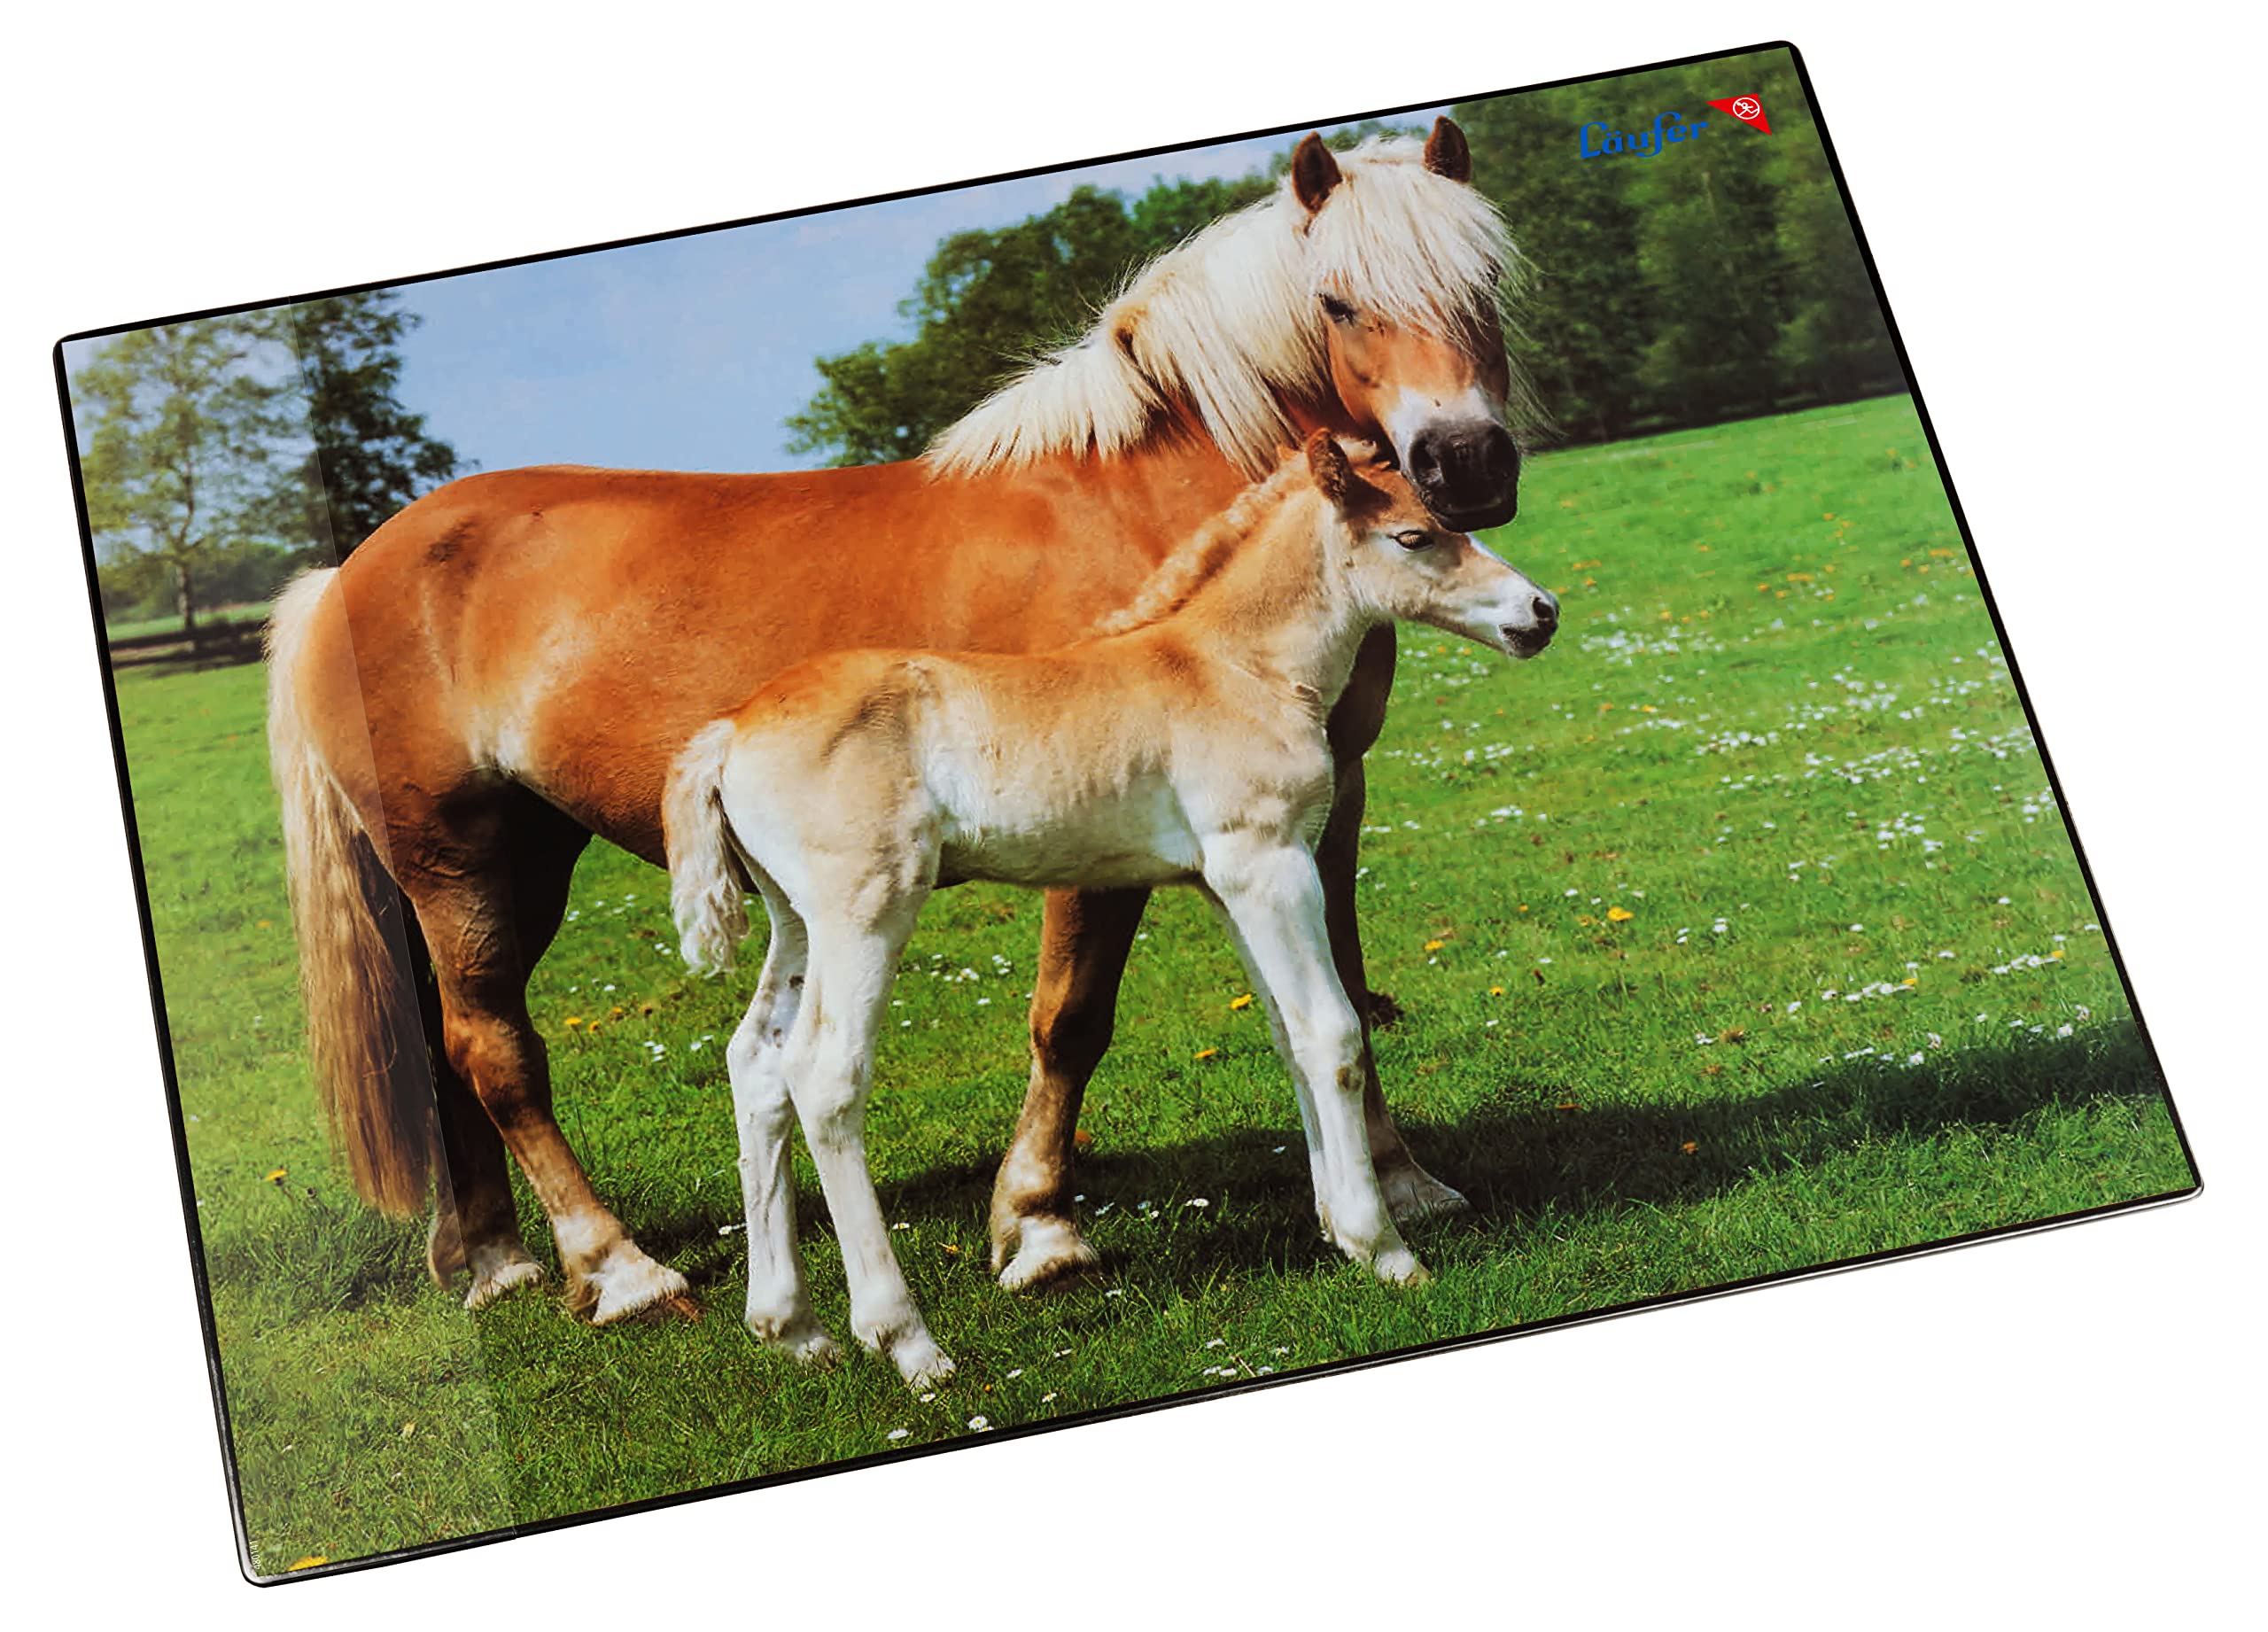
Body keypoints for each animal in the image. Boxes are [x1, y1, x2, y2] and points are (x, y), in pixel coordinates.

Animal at [664, 432, 1556, 1384]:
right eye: (1414, 536)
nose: (1541, 612)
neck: (1234, 669)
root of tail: (730, 729)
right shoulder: (1268, 861)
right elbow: (1332, 1034)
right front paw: (1381, 1248)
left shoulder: (1224, 882)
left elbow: (1286, 1034)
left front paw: (1336, 1229)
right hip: (864, 910)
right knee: (824, 1078)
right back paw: (906, 1341)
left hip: (794, 920)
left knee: (756, 1063)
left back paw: (791, 1327)